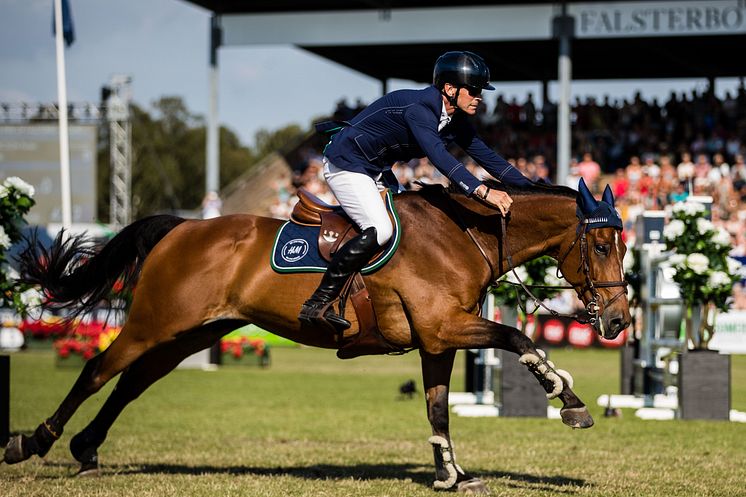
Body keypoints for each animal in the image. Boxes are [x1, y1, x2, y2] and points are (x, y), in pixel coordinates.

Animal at [1, 179, 628, 492]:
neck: (461, 233)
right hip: (154, 322)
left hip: (194, 333)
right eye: (601, 245)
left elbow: (437, 409)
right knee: (96, 371)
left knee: (132, 383)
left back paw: (86, 448)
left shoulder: (438, 341)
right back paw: (32, 442)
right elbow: (521, 340)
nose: (620, 322)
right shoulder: (447, 326)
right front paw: (568, 401)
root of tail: (182, 229)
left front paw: (450, 474)